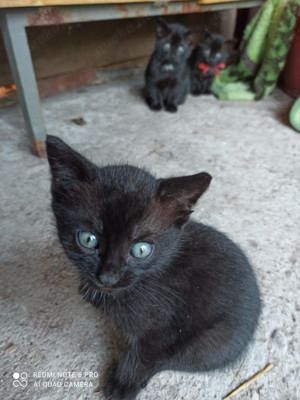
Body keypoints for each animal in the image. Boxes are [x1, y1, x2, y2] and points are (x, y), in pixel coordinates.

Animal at [46, 134, 260, 400]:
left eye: (141, 250)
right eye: (88, 239)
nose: (108, 278)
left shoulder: (164, 328)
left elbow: (144, 355)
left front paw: (122, 384)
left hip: (214, 340)